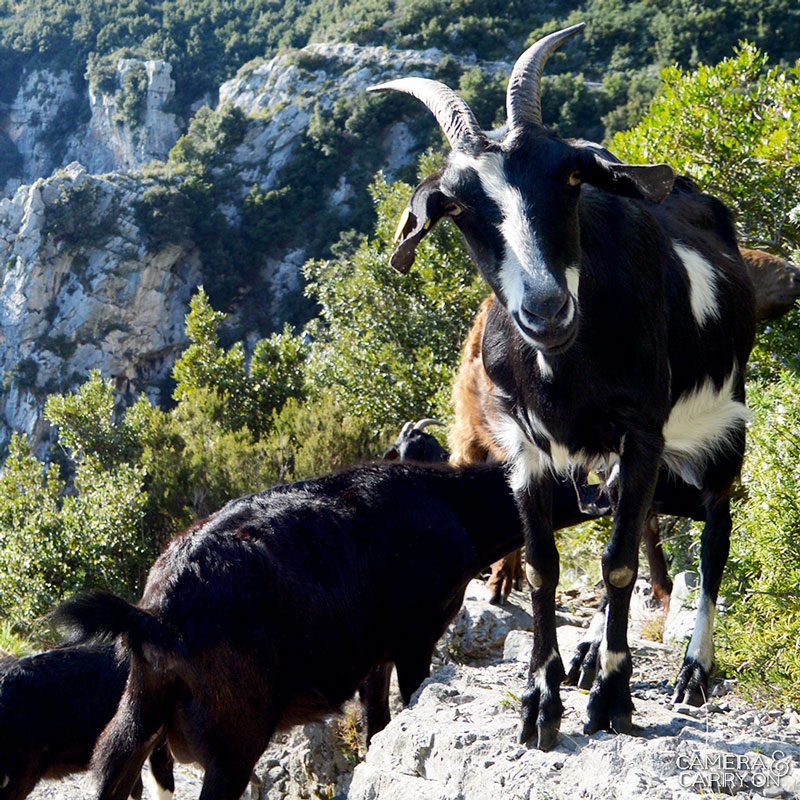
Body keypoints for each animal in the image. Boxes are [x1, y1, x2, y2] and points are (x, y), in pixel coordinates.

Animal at [368, 23, 756, 752]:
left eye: (571, 175)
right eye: (456, 204)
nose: (546, 310)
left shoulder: (643, 431)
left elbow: (620, 561)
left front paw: (613, 700)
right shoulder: (524, 446)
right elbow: (545, 564)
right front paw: (540, 701)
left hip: (724, 425)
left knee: (715, 532)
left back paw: (693, 669)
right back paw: (584, 655)